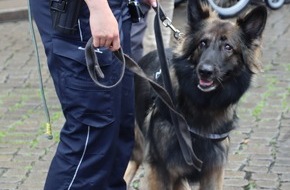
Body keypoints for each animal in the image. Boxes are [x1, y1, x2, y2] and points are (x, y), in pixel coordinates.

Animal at [124, 0, 268, 189]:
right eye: (203, 43)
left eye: (228, 47)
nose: (205, 71)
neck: (203, 107)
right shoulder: (160, 169)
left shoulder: (213, 170)